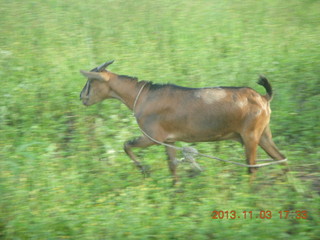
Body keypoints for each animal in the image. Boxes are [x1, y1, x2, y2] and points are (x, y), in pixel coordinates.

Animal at [80, 61, 288, 183]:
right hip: (264, 134)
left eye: (90, 81)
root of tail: (263, 97)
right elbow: (173, 166)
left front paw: (144, 169)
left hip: (250, 136)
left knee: (252, 168)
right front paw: (176, 193)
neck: (143, 96)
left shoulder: (153, 137)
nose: (82, 97)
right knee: (281, 159)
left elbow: (126, 145)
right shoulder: (169, 140)